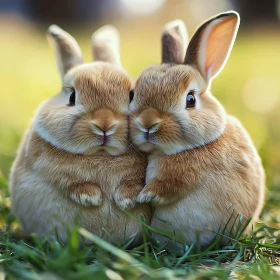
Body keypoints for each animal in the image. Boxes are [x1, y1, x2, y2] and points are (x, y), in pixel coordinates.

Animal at [9, 24, 151, 244]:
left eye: (131, 96)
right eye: (72, 97)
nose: (104, 125)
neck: (101, 155)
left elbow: (133, 182)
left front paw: (125, 200)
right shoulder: (49, 168)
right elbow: (71, 182)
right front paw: (91, 197)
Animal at [129, 10, 264, 247]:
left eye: (190, 99)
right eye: (133, 94)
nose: (147, 123)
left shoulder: (183, 176)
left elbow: (168, 185)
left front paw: (145, 196)